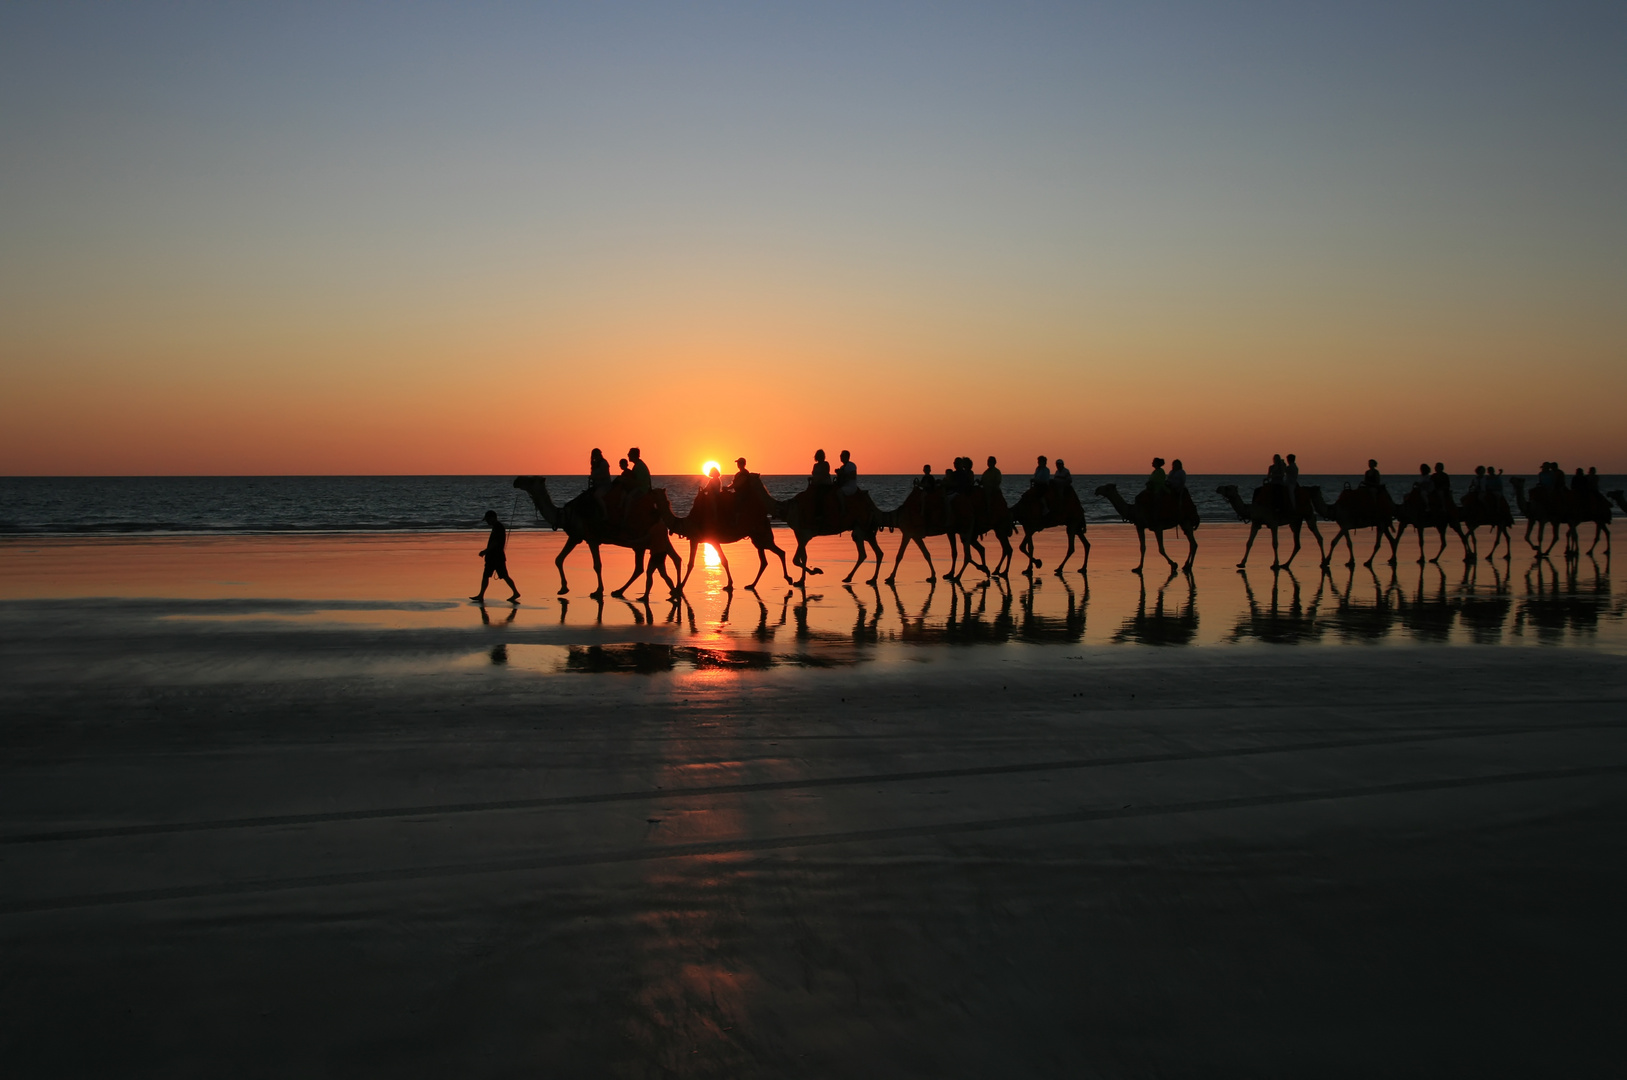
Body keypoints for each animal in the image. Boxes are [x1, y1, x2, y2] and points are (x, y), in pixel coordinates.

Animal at [514, 478, 680, 601]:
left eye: (530, 479)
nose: (516, 480)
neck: (566, 515)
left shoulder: (589, 538)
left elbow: (597, 565)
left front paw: (597, 591)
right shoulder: (576, 536)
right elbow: (559, 559)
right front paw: (563, 588)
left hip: (647, 539)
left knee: (654, 564)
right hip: (649, 542)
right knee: (660, 562)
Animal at [654, 487, 793, 595]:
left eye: (653, 492)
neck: (686, 523)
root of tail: (765, 518)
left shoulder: (702, 539)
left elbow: (694, 564)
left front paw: (680, 587)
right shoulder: (702, 540)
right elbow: (722, 561)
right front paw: (729, 584)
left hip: (761, 536)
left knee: (777, 553)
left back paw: (787, 579)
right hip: (757, 538)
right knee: (770, 558)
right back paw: (753, 584)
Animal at [738, 474, 885, 585]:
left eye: (744, 478)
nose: (733, 485)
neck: (787, 509)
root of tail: (869, 502)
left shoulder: (804, 533)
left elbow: (797, 559)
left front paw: (815, 572)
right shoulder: (799, 533)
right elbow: (803, 557)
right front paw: (801, 580)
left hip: (860, 527)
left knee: (864, 553)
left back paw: (852, 578)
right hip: (865, 529)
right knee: (877, 552)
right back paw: (870, 579)